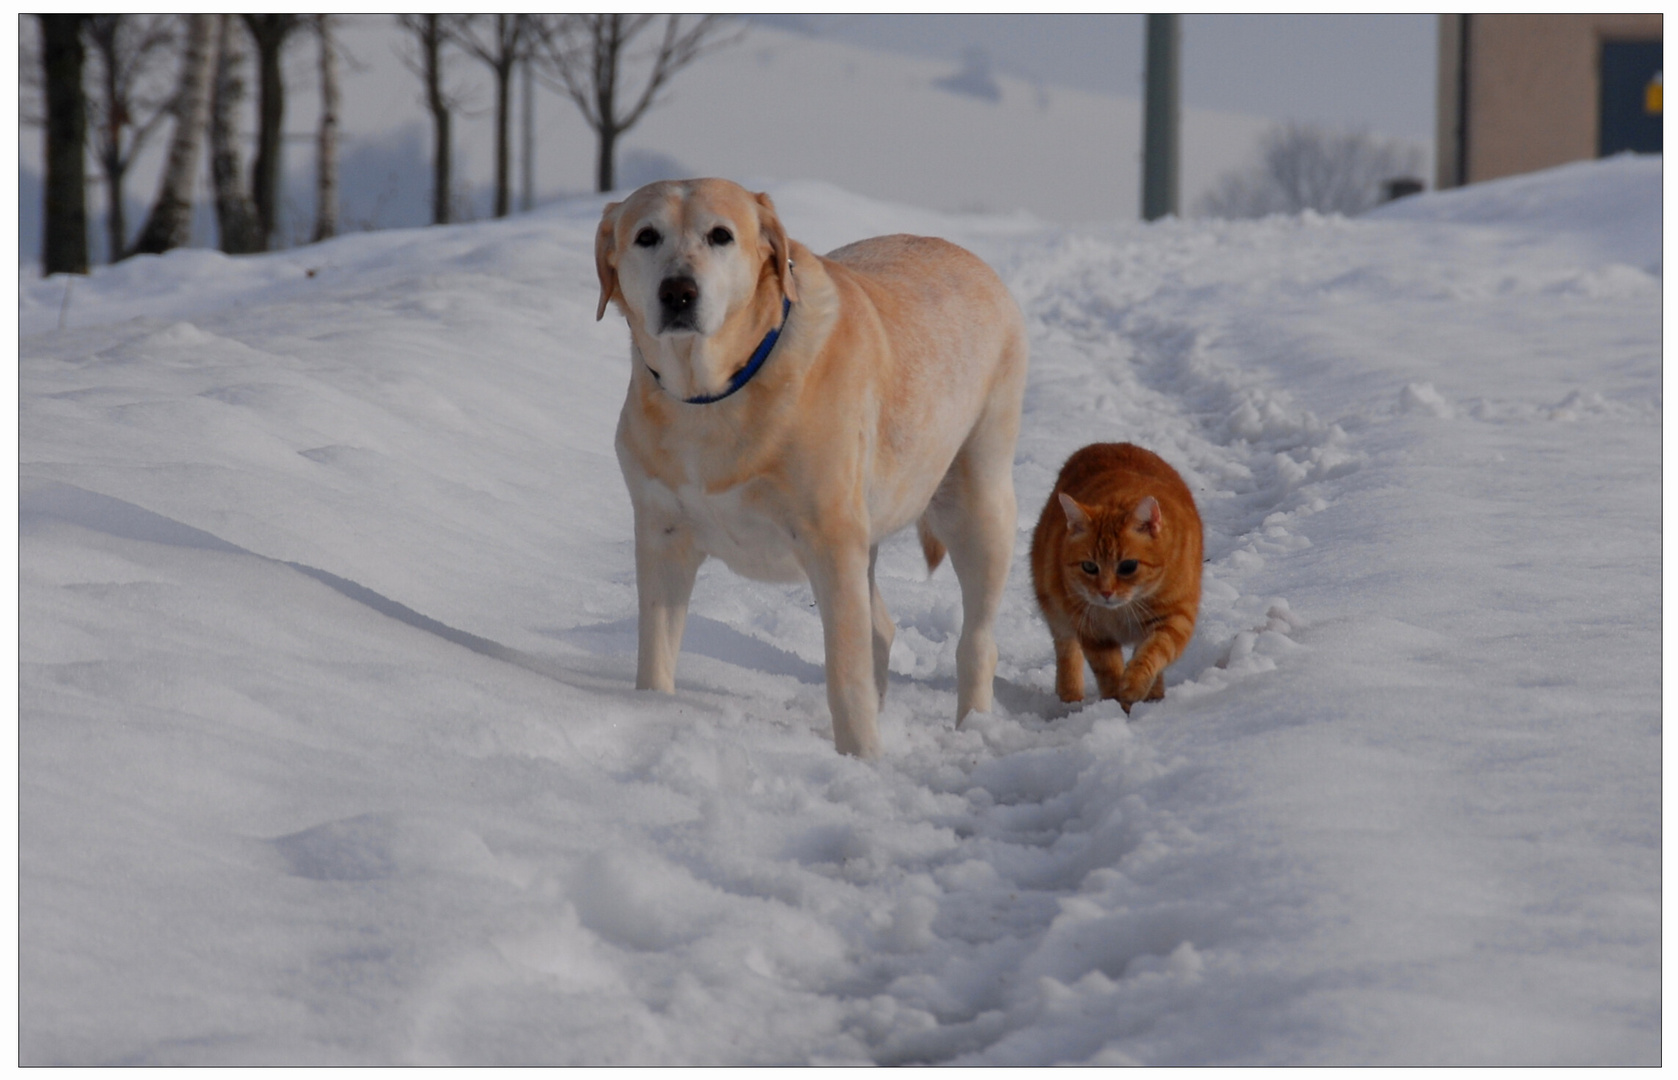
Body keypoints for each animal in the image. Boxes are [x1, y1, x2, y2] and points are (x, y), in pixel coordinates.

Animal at [597, 179, 1026, 758]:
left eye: (720, 235)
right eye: (646, 236)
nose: (678, 292)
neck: (715, 394)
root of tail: (971, 258)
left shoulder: (830, 539)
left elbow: (845, 675)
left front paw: (862, 758)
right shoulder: (663, 535)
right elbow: (655, 654)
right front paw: (651, 712)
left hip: (976, 502)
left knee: (975, 641)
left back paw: (971, 727)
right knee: (882, 629)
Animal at [1026, 442, 1201, 714]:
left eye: (1127, 566)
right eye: (1089, 567)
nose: (1106, 592)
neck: (1122, 610)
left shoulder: (1175, 618)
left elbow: (1154, 652)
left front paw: (1135, 686)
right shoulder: (1092, 629)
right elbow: (1108, 670)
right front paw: (1116, 704)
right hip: (1055, 608)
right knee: (1066, 652)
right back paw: (1070, 697)